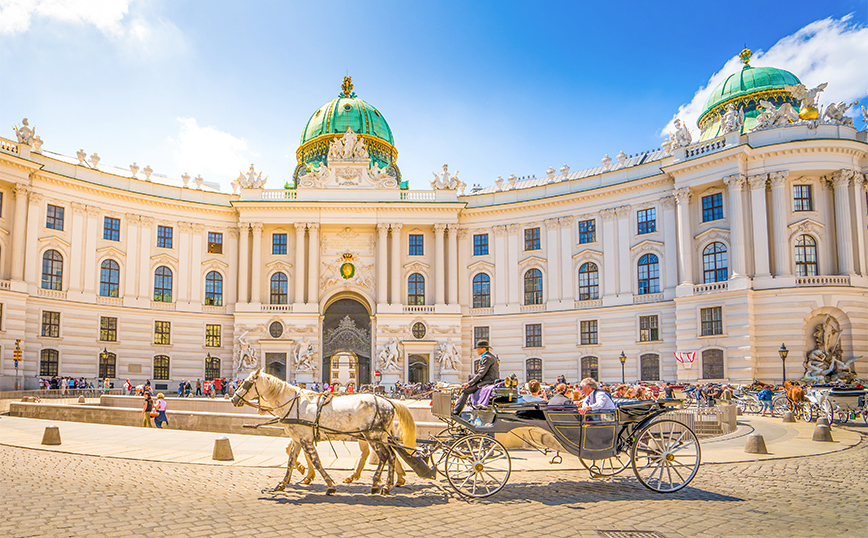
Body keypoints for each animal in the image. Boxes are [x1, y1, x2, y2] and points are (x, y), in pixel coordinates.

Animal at [231, 370, 414, 492]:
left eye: (246, 383)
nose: (233, 399)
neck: (293, 404)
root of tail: (388, 401)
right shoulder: (298, 440)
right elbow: (290, 461)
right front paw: (282, 484)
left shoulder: (305, 440)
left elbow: (316, 461)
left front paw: (330, 484)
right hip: (379, 436)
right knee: (391, 456)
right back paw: (388, 484)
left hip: (372, 435)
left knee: (384, 456)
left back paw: (378, 483)